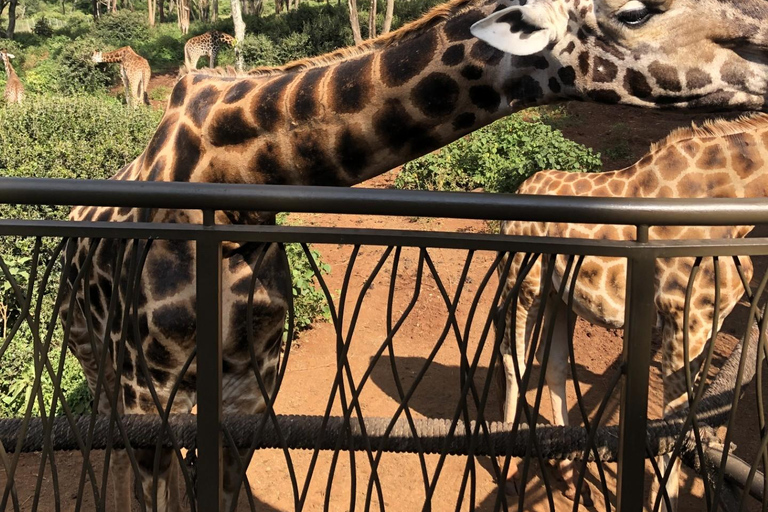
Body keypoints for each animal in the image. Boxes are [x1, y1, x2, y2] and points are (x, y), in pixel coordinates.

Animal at [498, 114, 768, 510]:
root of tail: (520, 188)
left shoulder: (708, 324)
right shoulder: (682, 318)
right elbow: (671, 419)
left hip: (558, 294)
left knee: (554, 365)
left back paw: (567, 471)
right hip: (525, 278)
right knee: (512, 353)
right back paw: (507, 471)